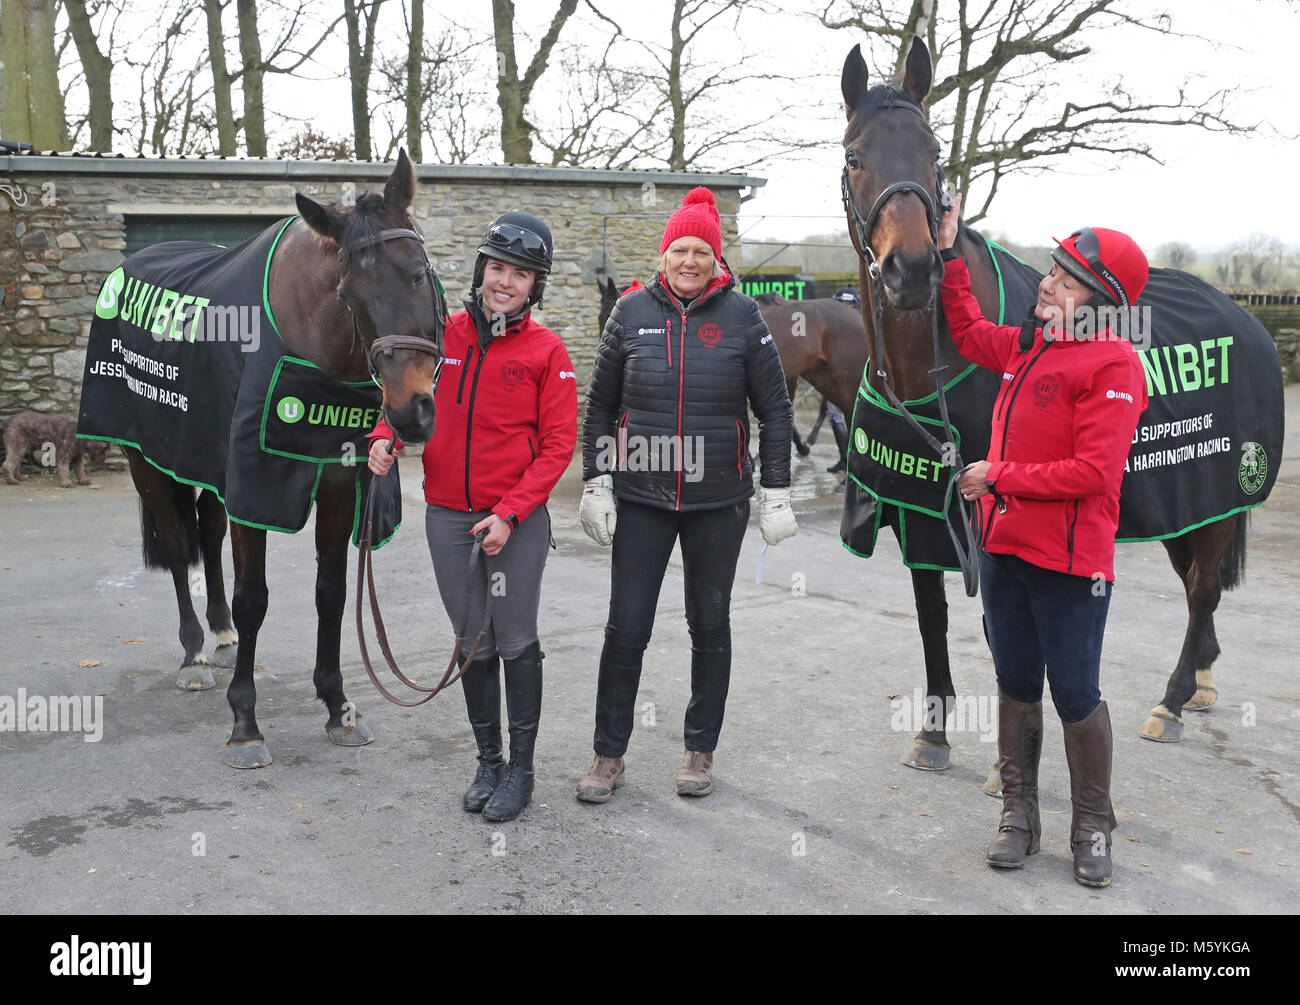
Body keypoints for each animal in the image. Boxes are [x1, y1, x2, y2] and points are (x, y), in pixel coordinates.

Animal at [109, 148, 441, 764]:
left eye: (418, 274)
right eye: (349, 296)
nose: (411, 412)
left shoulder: (336, 481)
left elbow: (330, 592)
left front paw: (337, 705)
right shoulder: (255, 483)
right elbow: (254, 598)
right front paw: (245, 721)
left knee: (207, 530)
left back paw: (219, 636)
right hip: (147, 461)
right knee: (177, 543)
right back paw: (194, 654)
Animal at [837, 37, 1263, 769]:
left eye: (932, 152)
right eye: (856, 157)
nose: (913, 270)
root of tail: (1240, 312)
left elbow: (1004, 631)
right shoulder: (923, 506)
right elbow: (931, 616)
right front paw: (934, 732)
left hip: (1218, 494)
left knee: (1203, 586)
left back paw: (1174, 699)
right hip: (1187, 503)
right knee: (1195, 588)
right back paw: (1202, 679)